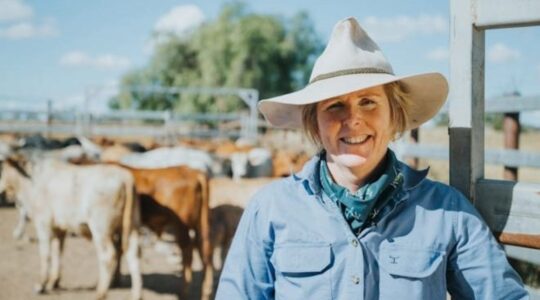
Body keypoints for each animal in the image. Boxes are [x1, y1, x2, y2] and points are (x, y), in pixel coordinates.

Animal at [0, 156, 141, 298]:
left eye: (2, 169)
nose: (2, 191)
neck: (30, 180)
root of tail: (125, 177)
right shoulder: (59, 228)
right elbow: (57, 251)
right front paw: (53, 282)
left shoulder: (43, 222)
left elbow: (45, 254)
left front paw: (40, 285)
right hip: (131, 226)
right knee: (133, 254)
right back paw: (136, 294)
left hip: (100, 229)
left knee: (108, 256)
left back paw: (100, 293)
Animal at [121, 164, 214, 300]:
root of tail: (194, 172)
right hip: (200, 223)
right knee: (205, 251)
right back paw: (206, 291)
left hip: (182, 224)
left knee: (188, 251)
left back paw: (184, 292)